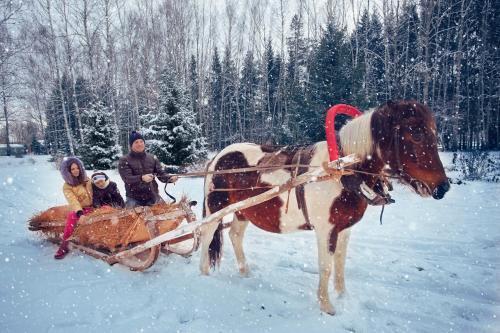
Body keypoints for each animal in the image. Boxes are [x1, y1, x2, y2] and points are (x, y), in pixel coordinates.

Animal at [198, 99, 450, 314]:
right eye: (415, 133)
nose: (443, 187)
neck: (342, 169)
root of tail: (218, 156)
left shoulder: (345, 229)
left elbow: (339, 263)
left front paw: (343, 296)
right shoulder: (326, 230)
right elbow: (326, 266)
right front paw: (327, 305)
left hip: (243, 210)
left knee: (235, 235)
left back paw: (245, 271)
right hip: (216, 208)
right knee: (208, 235)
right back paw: (204, 273)